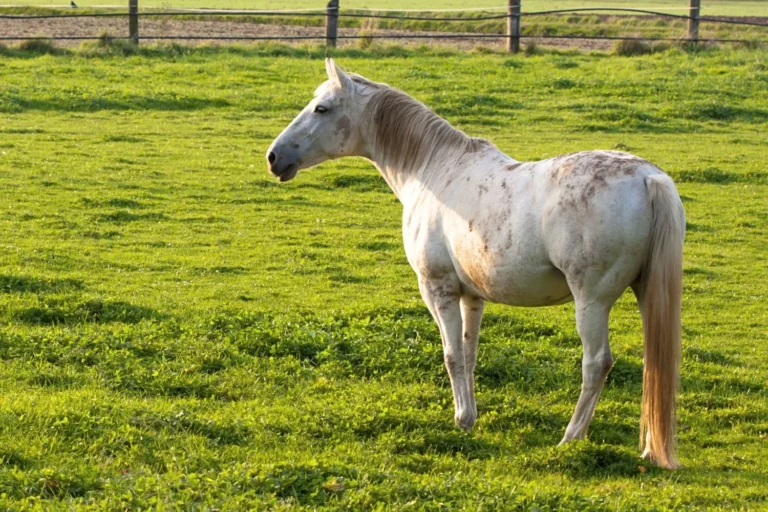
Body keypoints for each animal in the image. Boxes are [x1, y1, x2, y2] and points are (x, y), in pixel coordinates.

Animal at [268, 59, 688, 468]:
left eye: (322, 108)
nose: (274, 157)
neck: (433, 170)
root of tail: (649, 178)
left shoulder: (437, 289)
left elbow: (452, 355)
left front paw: (460, 419)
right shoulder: (472, 296)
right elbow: (469, 355)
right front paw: (470, 416)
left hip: (592, 302)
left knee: (597, 363)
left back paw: (571, 437)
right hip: (645, 293)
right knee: (654, 363)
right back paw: (648, 447)